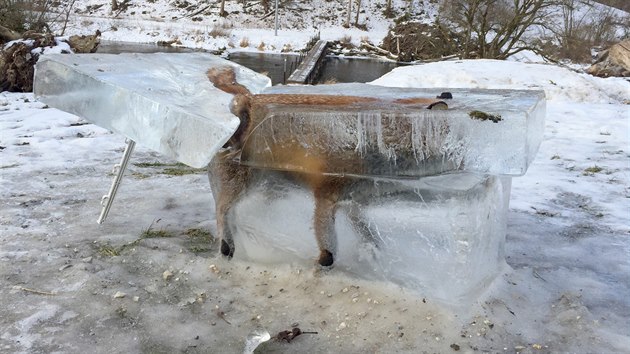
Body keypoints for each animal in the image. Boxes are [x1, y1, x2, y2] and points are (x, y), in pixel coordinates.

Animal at [207, 65, 450, 266]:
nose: (446, 93)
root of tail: (249, 98)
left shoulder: (354, 201)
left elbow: (368, 233)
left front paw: (372, 252)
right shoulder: (326, 195)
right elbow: (329, 247)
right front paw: (324, 264)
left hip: (271, 188)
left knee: (240, 212)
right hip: (244, 184)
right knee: (222, 209)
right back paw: (227, 245)